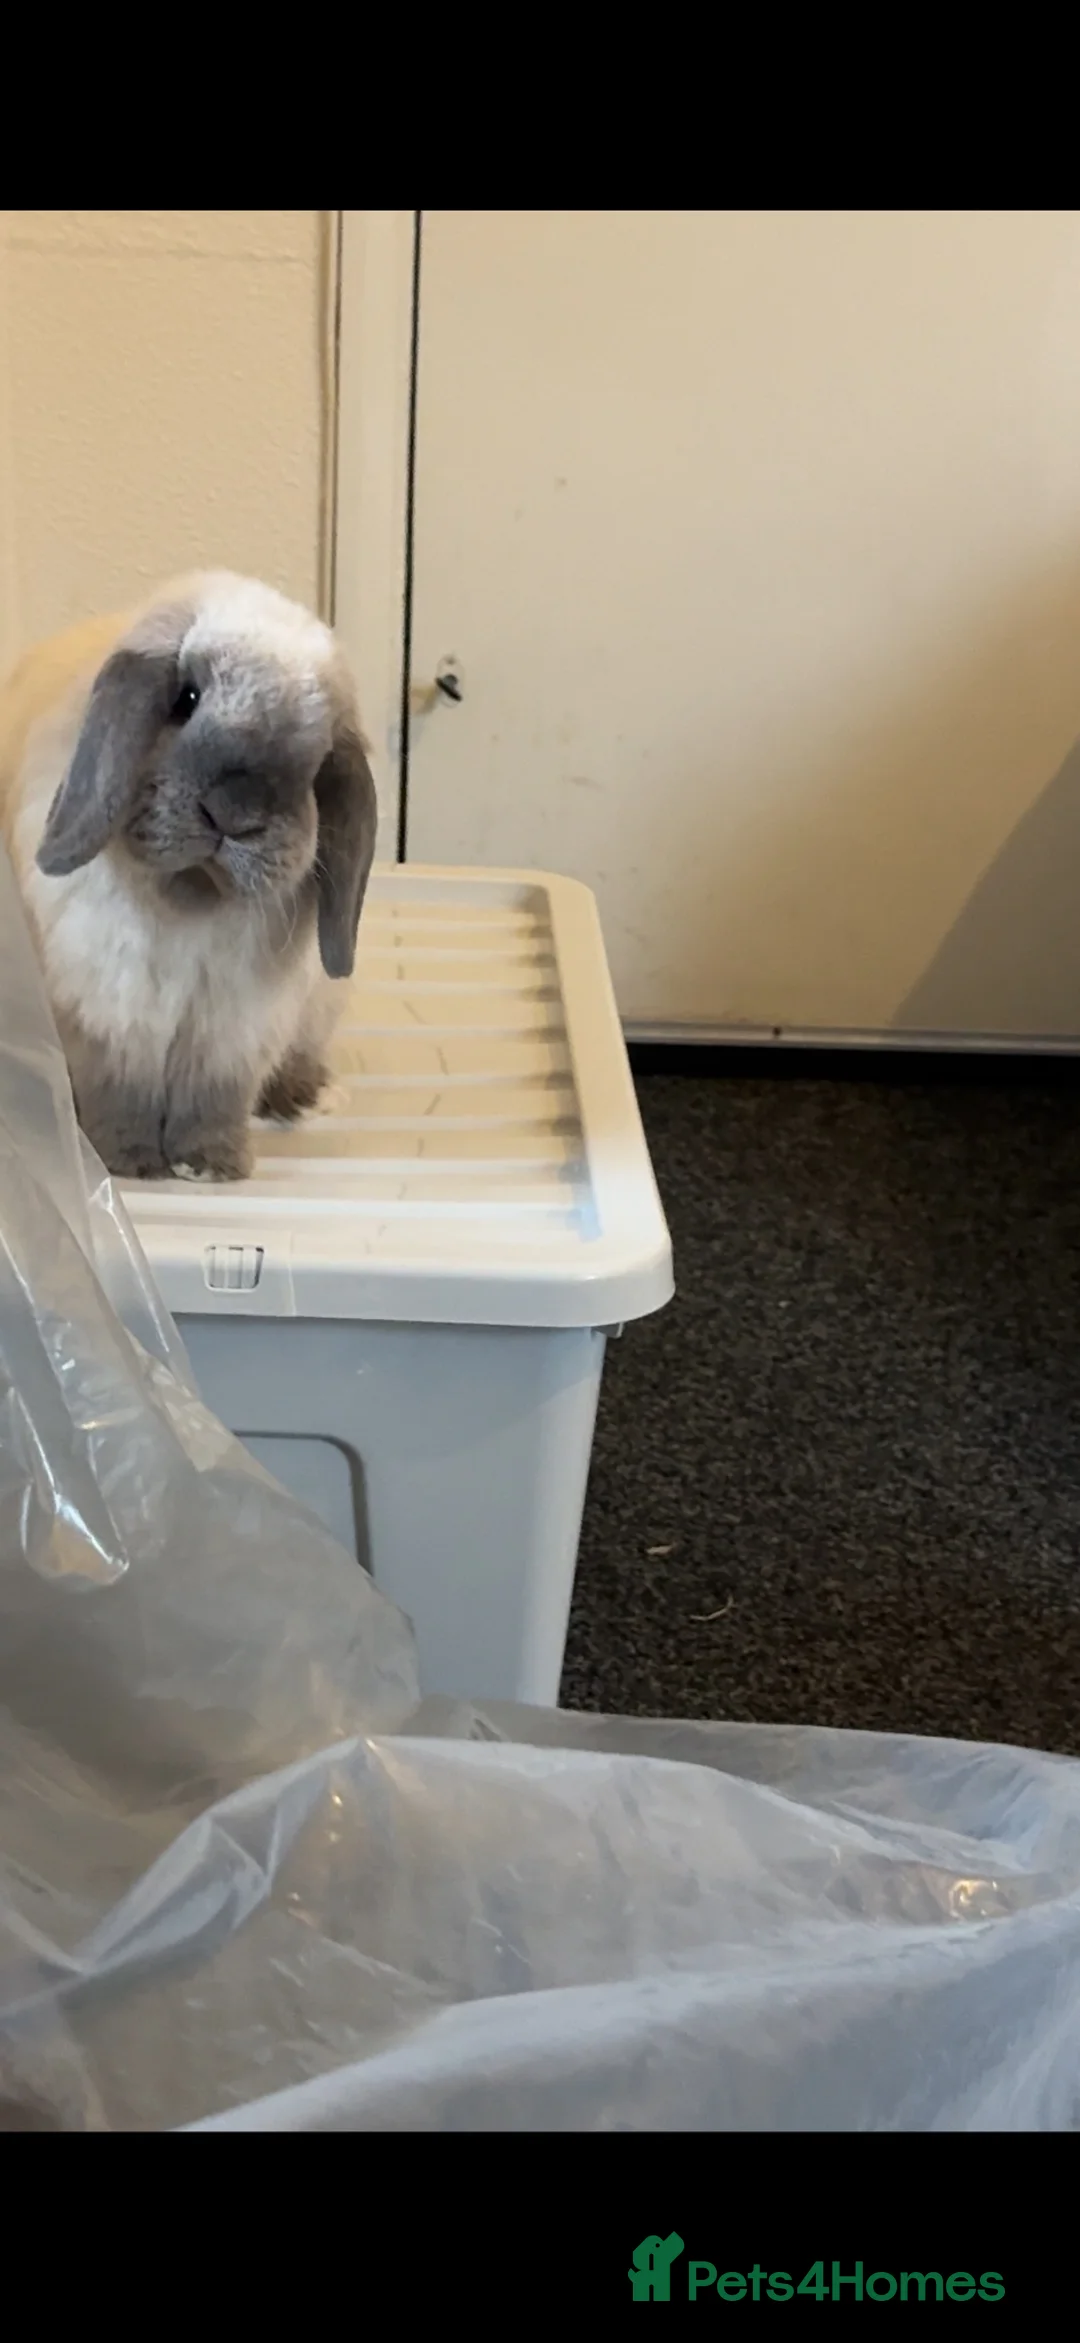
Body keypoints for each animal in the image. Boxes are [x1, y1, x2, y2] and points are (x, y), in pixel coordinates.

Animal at [0, 571, 377, 1182]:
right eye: (186, 698)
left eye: (319, 760)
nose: (235, 813)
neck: (190, 903)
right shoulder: (110, 1020)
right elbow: (121, 1093)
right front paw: (129, 1162)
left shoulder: (231, 1035)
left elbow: (212, 1101)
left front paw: (211, 1164)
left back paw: (300, 1097)